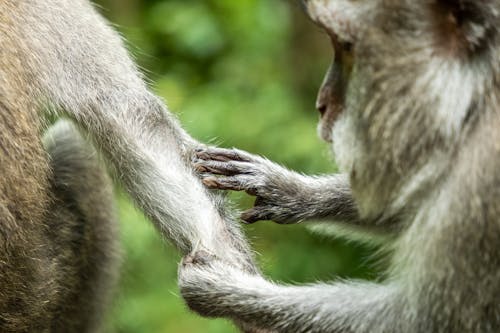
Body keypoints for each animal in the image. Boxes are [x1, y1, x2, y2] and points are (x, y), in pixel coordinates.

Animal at [180, 0, 500, 330]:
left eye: (346, 48)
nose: (321, 105)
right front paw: (287, 191)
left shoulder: (479, 189)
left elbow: (418, 321)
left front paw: (230, 291)